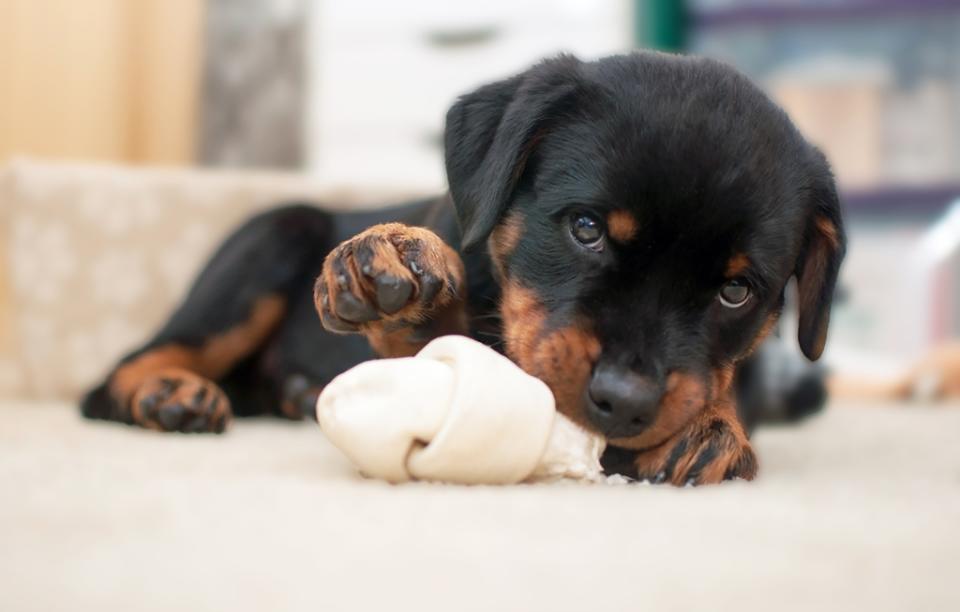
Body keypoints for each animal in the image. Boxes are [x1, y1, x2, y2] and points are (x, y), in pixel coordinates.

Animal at [84, 51, 848, 488]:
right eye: (586, 228)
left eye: (736, 290)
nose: (627, 402)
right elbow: (438, 348)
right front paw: (404, 292)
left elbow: (721, 389)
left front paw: (712, 427)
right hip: (267, 245)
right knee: (121, 369)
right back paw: (168, 394)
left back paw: (294, 394)